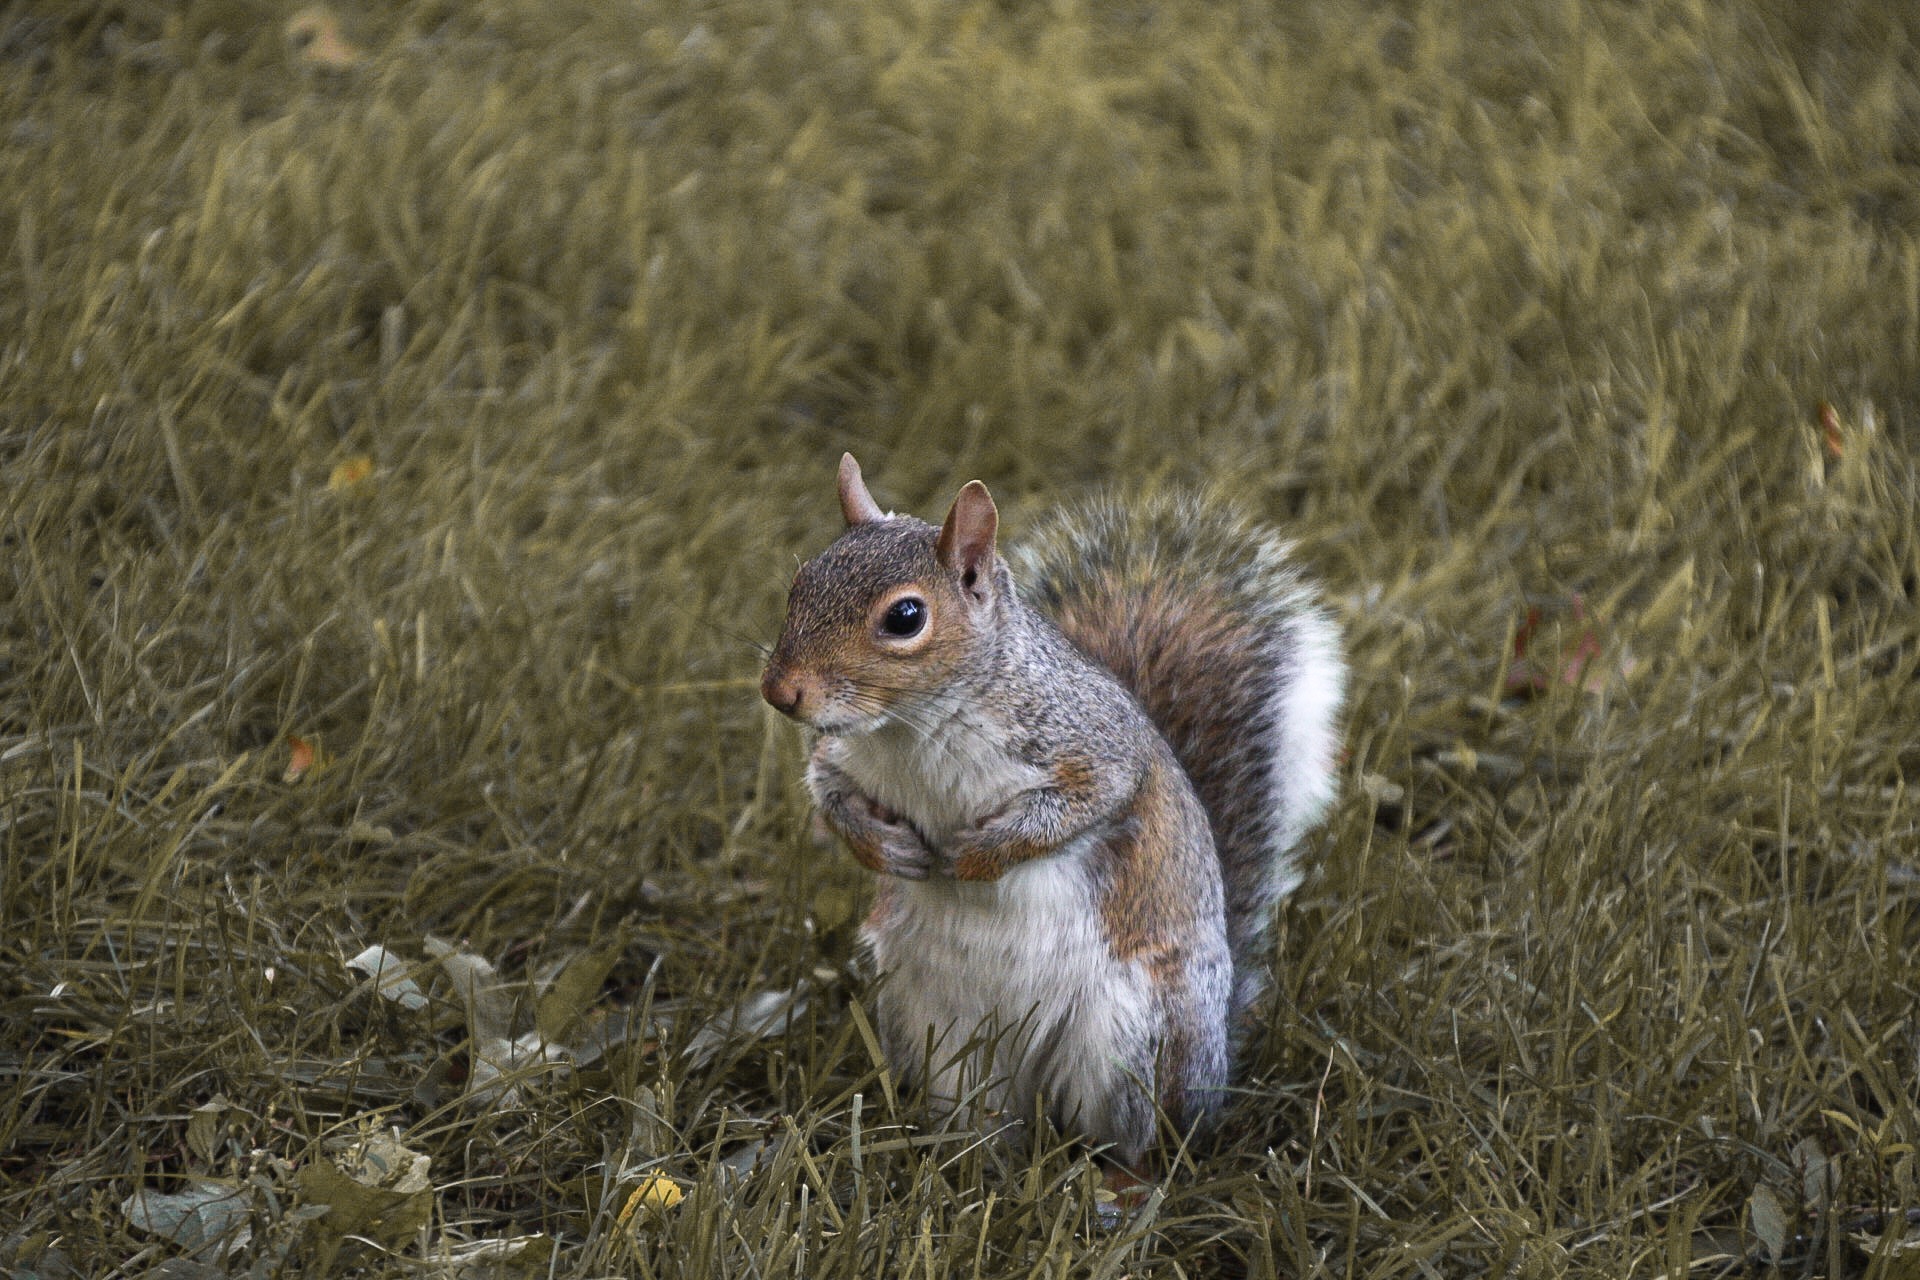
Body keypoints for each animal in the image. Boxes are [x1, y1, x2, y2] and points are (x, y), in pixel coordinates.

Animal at [760, 454, 1346, 1167]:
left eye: (905, 617)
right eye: (801, 582)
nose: (780, 692)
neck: (911, 727)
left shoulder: (1093, 748)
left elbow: (1083, 804)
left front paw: (977, 856)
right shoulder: (841, 757)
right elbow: (831, 796)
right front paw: (885, 848)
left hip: (1133, 1039)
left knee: (1136, 1140)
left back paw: (1116, 1179)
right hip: (942, 1037)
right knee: (982, 1113)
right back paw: (965, 1159)